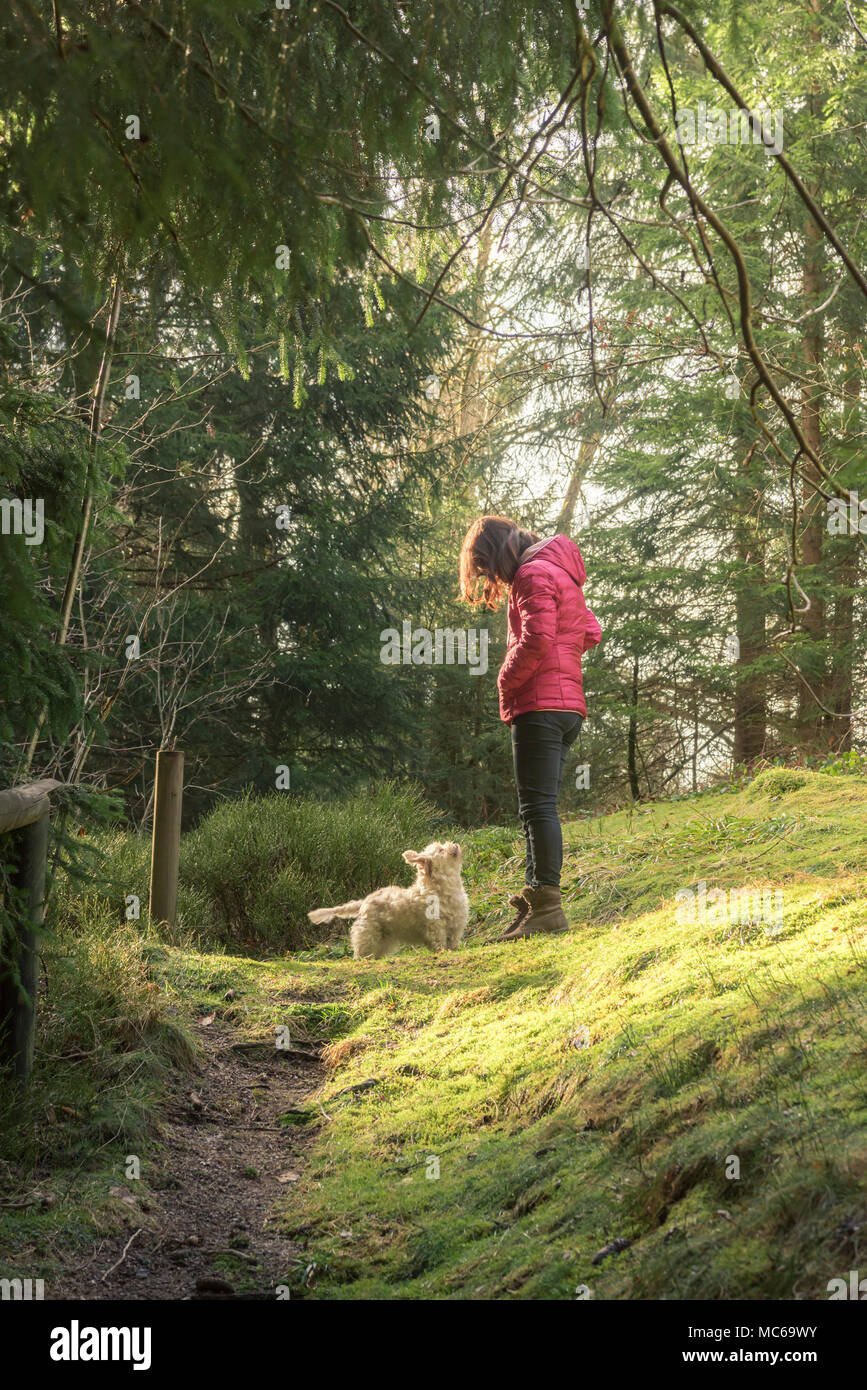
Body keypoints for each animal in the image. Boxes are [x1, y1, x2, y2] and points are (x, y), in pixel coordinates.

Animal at [308, 839, 469, 961]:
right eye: (441, 850)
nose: (454, 843)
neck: (442, 887)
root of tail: (364, 902)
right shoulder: (436, 928)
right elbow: (440, 944)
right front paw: (443, 953)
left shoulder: (455, 927)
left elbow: (453, 944)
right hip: (368, 936)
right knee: (361, 952)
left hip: (383, 940)